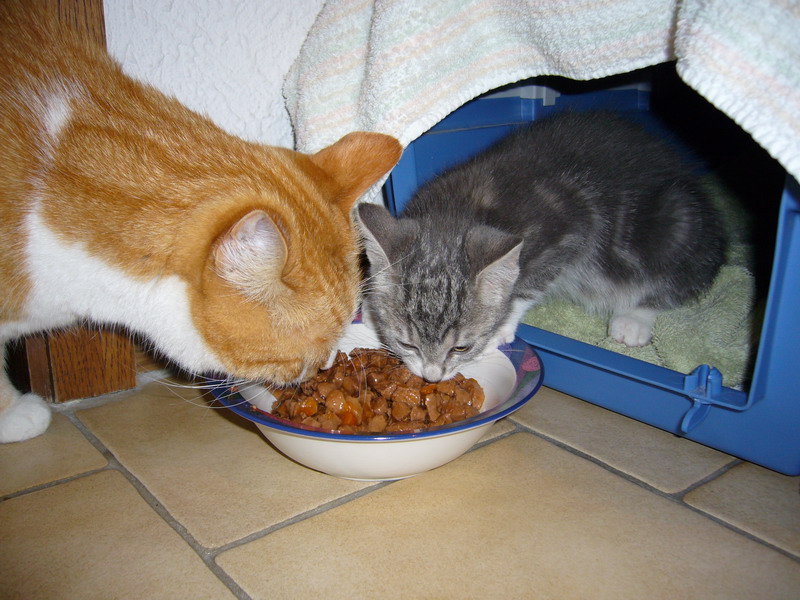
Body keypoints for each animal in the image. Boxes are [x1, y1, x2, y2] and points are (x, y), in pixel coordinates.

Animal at [356, 110, 725, 382]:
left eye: (462, 348)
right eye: (407, 343)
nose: (431, 377)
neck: (459, 209)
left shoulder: (572, 231)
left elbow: (528, 285)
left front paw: (502, 327)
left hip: (677, 226)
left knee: (680, 282)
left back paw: (634, 319)